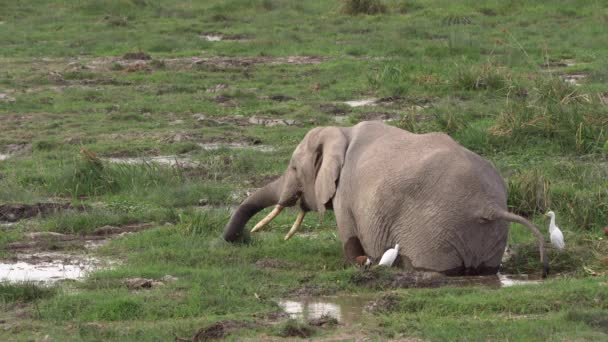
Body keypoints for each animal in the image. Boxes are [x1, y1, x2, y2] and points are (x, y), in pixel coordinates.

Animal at [223, 121, 552, 276]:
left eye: (293, 168)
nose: (241, 239)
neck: (341, 131)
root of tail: (488, 205)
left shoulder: (346, 193)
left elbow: (348, 236)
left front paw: (355, 264)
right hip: (487, 234)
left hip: (434, 230)